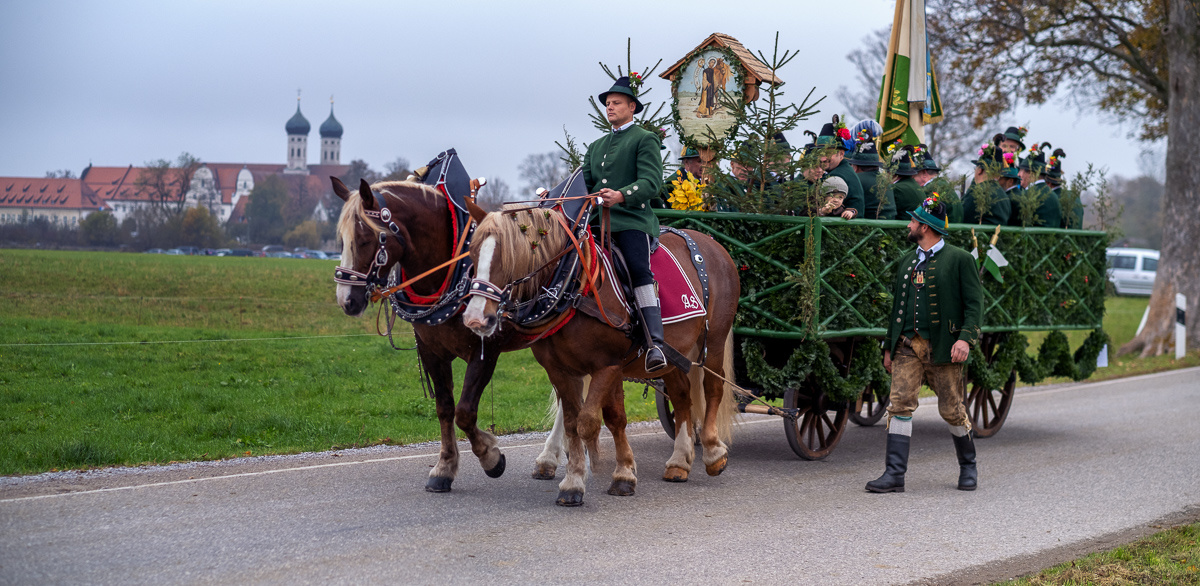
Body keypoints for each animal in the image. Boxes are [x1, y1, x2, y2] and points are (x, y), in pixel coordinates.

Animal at [462, 202, 741, 506]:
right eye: (473, 253)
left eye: (507, 257)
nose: (475, 318)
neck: (573, 283)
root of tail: (710, 241)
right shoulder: (561, 369)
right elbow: (575, 422)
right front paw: (574, 480)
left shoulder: (607, 366)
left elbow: (595, 421)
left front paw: (619, 473)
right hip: (674, 354)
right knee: (681, 396)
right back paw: (679, 461)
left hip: (713, 340)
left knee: (713, 388)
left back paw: (713, 451)